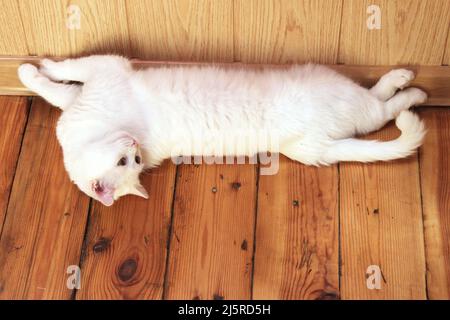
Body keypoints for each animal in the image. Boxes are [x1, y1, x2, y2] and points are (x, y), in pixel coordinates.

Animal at [16, 55, 426, 206]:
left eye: (129, 160)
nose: (133, 146)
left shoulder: (102, 69)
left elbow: (59, 76)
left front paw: (33, 67)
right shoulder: (96, 82)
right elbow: (58, 86)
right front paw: (31, 70)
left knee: (379, 104)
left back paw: (409, 82)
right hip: (338, 105)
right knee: (380, 109)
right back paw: (411, 89)